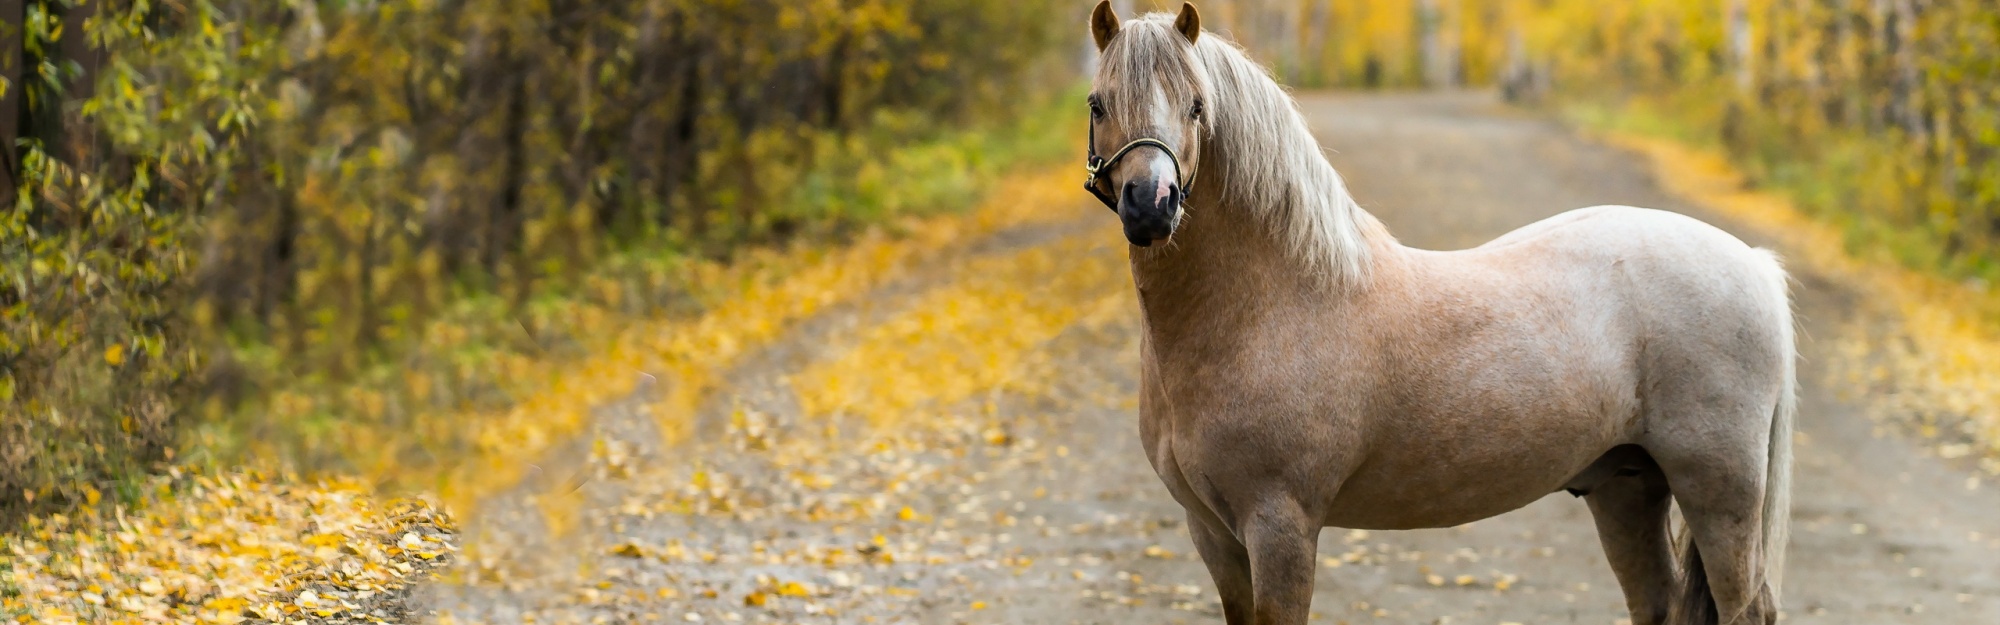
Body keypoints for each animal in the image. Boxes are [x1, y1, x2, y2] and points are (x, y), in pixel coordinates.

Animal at [1088, 2, 1808, 620]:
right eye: (1098, 103)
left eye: (1197, 106)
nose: (1151, 205)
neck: (1270, 307)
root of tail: (1752, 263)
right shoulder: (1210, 530)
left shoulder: (1281, 526)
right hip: (1628, 487)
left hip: (1720, 492)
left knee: (1748, 606)